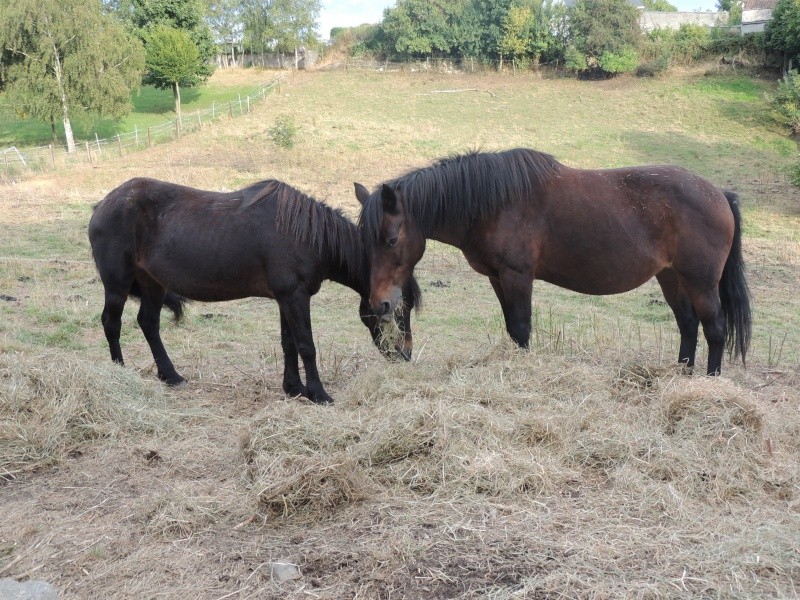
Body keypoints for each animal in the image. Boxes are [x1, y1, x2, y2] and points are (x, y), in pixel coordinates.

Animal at [90, 177, 422, 404]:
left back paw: (170, 376)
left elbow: (288, 344)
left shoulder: (285, 299)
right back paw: (120, 372)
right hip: (118, 283)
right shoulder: (294, 296)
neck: (305, 234)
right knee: (112, 323)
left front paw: (294, 388)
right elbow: (306, 345)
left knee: (148, 323)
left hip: (152, 283)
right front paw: (318, 393)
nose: (405, 356)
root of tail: (103, 204)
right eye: (398, 309)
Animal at [360, 149, 752, 376]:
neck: (493, 202)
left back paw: (709, 381)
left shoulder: (518, 276)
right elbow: (512, 330)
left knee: (714, 328)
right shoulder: (497, 278)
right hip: (671, 278)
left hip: (701, 283)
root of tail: (720, 195)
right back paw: (681, 375)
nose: (379, 304)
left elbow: (521, 328)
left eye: (391, 240)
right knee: (688, 325)